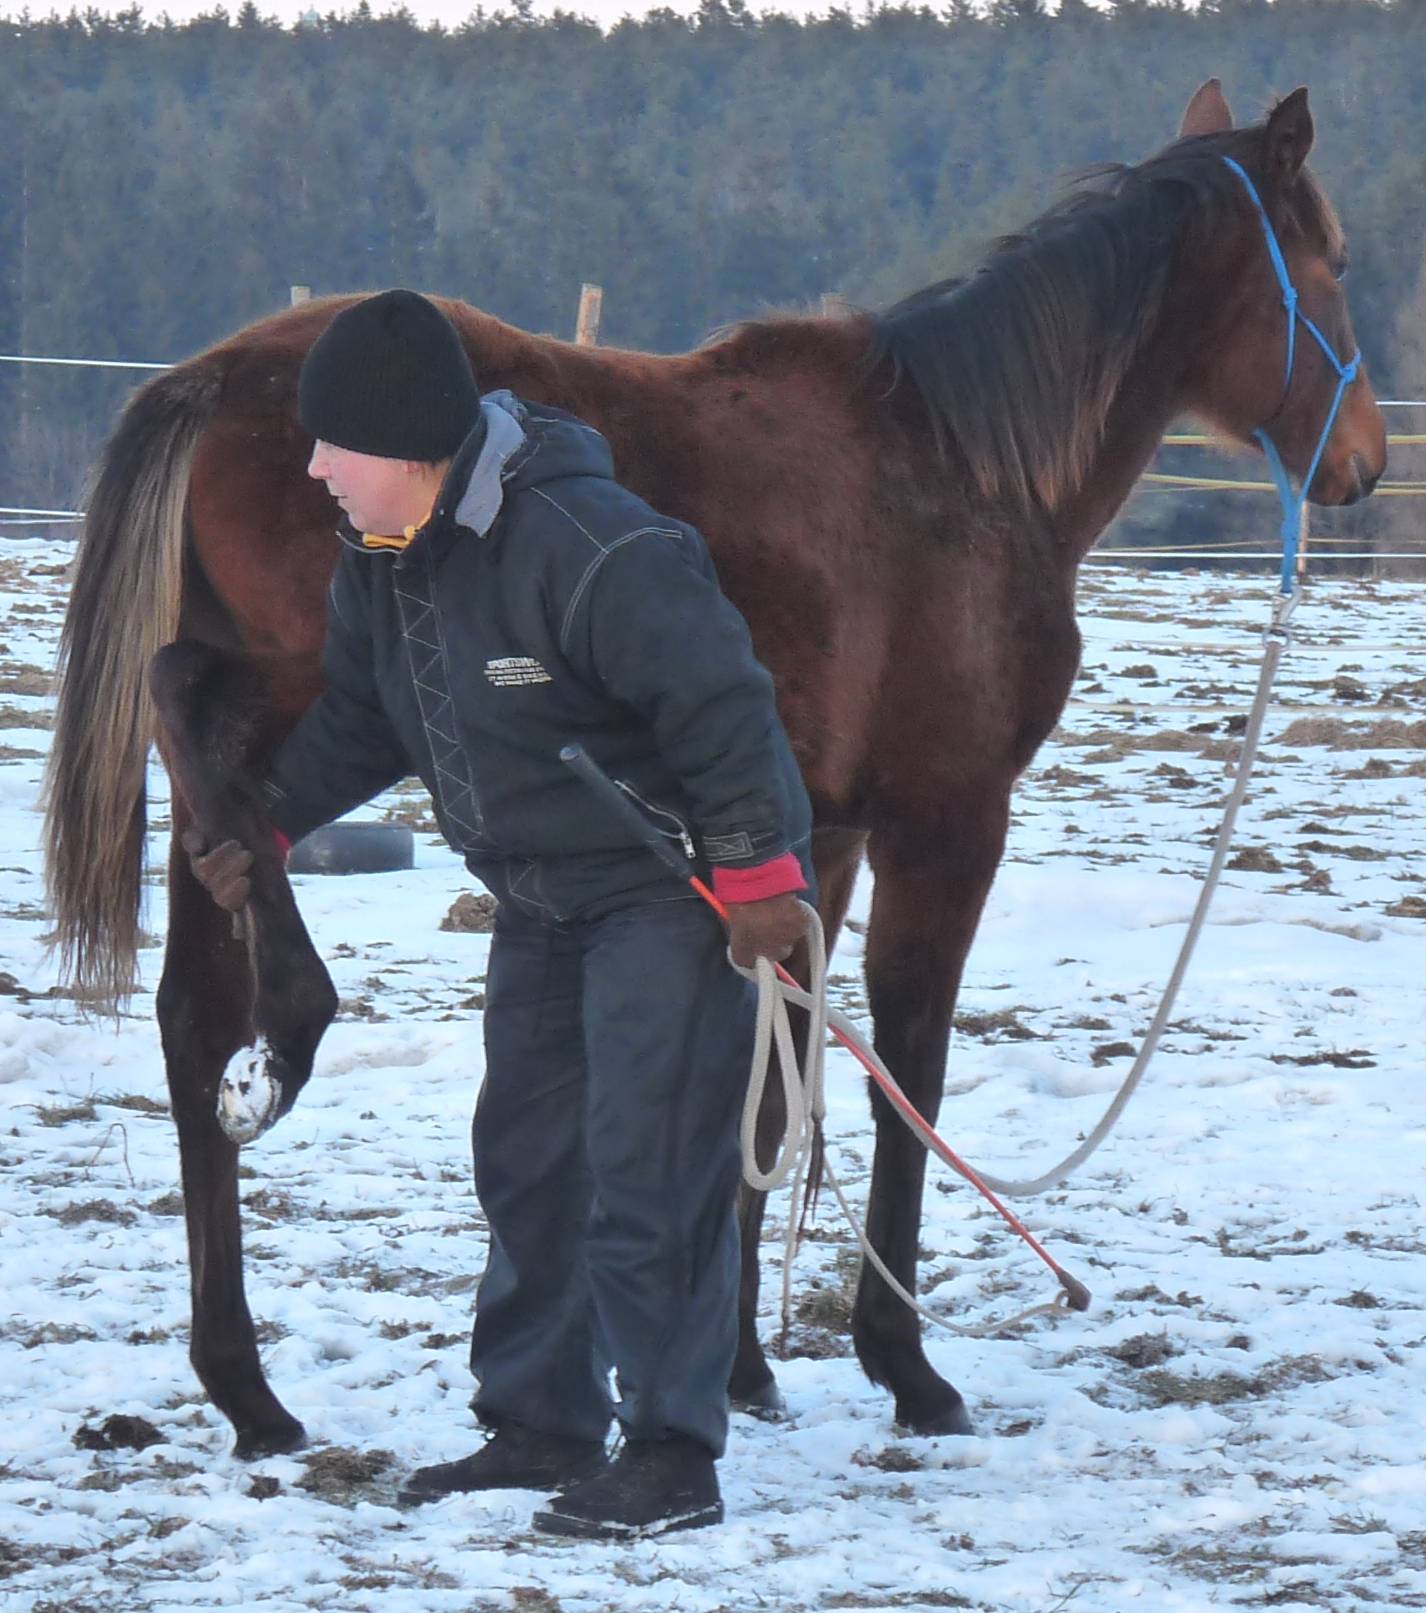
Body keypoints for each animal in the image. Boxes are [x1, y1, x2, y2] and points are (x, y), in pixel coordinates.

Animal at [44, 81, 1380, 1458]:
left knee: (198, 999)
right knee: (192, 709)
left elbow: (774, 1086)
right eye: (1329, 263)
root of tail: (211, 378)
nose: (1362, 462)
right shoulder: (946, 818)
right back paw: (300, 1020)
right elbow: (905, 1069)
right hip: (326, 683)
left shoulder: (810, 837)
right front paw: (904, 1364)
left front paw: (743, 1362)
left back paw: (248, 1386)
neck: (965, 471)